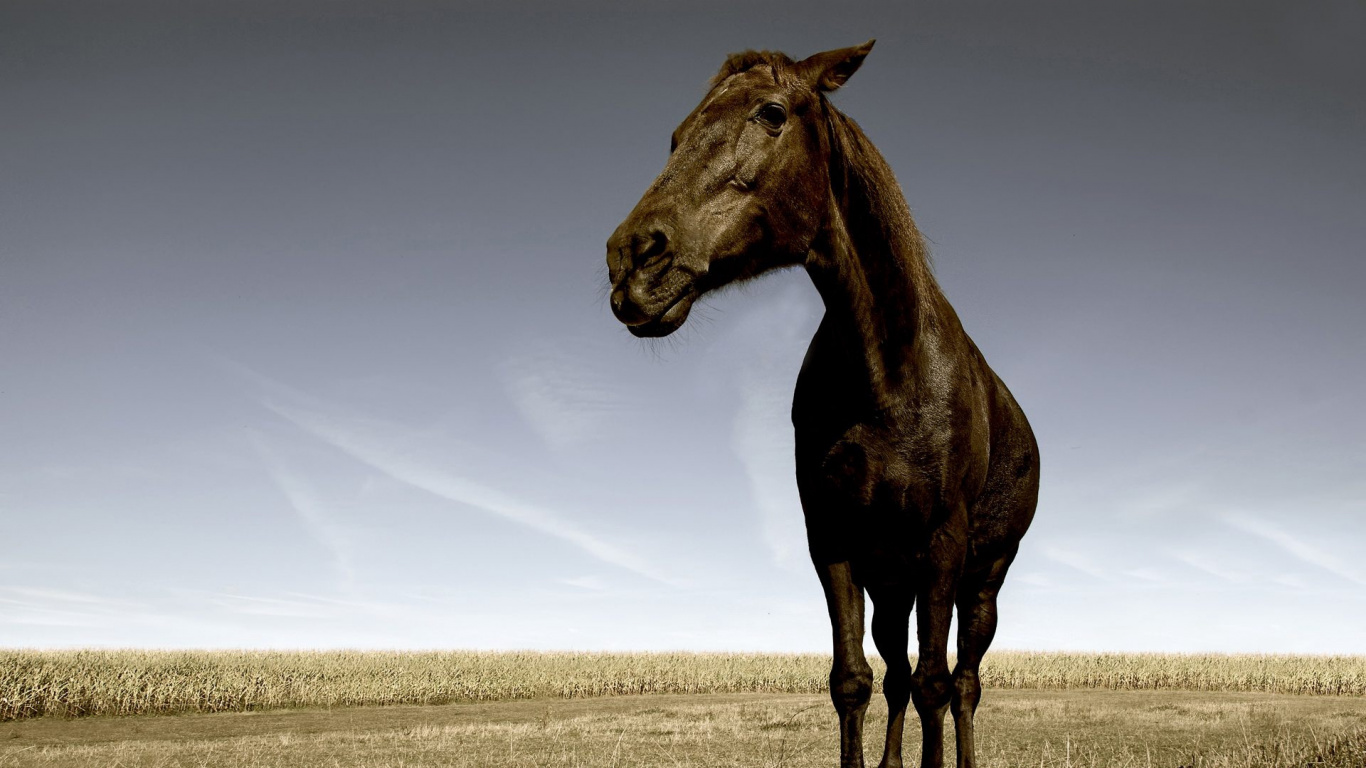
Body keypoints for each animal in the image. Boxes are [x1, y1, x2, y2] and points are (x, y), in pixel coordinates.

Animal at [606, 41, 1040, 768]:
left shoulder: (943, 545)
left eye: (771, 113)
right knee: (897, 675)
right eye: (676, 135)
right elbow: (854, 680)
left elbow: (935, 683)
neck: (889, 373)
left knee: (963, 682)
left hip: (982, 579)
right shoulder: (833, 540)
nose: (631, 262)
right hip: (892, 582)